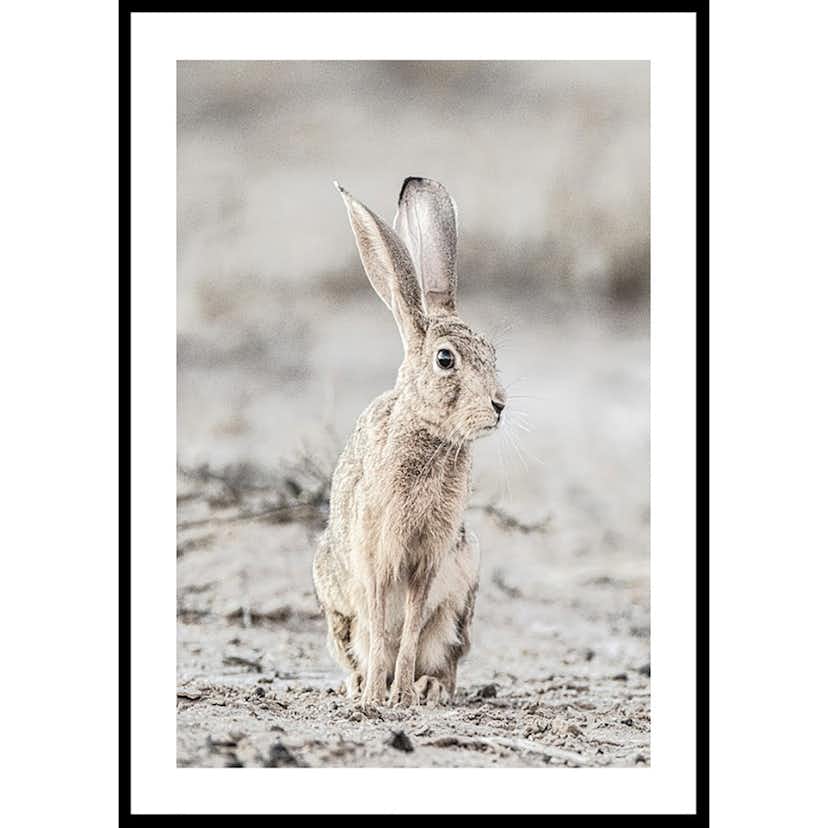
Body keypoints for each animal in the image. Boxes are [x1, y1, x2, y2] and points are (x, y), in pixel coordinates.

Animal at [312, 176, 506, 708]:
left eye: (492, 353)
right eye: (445, 360)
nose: (499, 405)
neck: (429, 436)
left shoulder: (429, 559)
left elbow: (412, 626)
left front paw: (401, 694)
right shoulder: (377, 554)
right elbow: (382, 625)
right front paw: (377, 697)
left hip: (462, 597)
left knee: (442, 655)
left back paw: (428, 687)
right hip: (335, 602)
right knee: (358, 643)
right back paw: (359, 685)